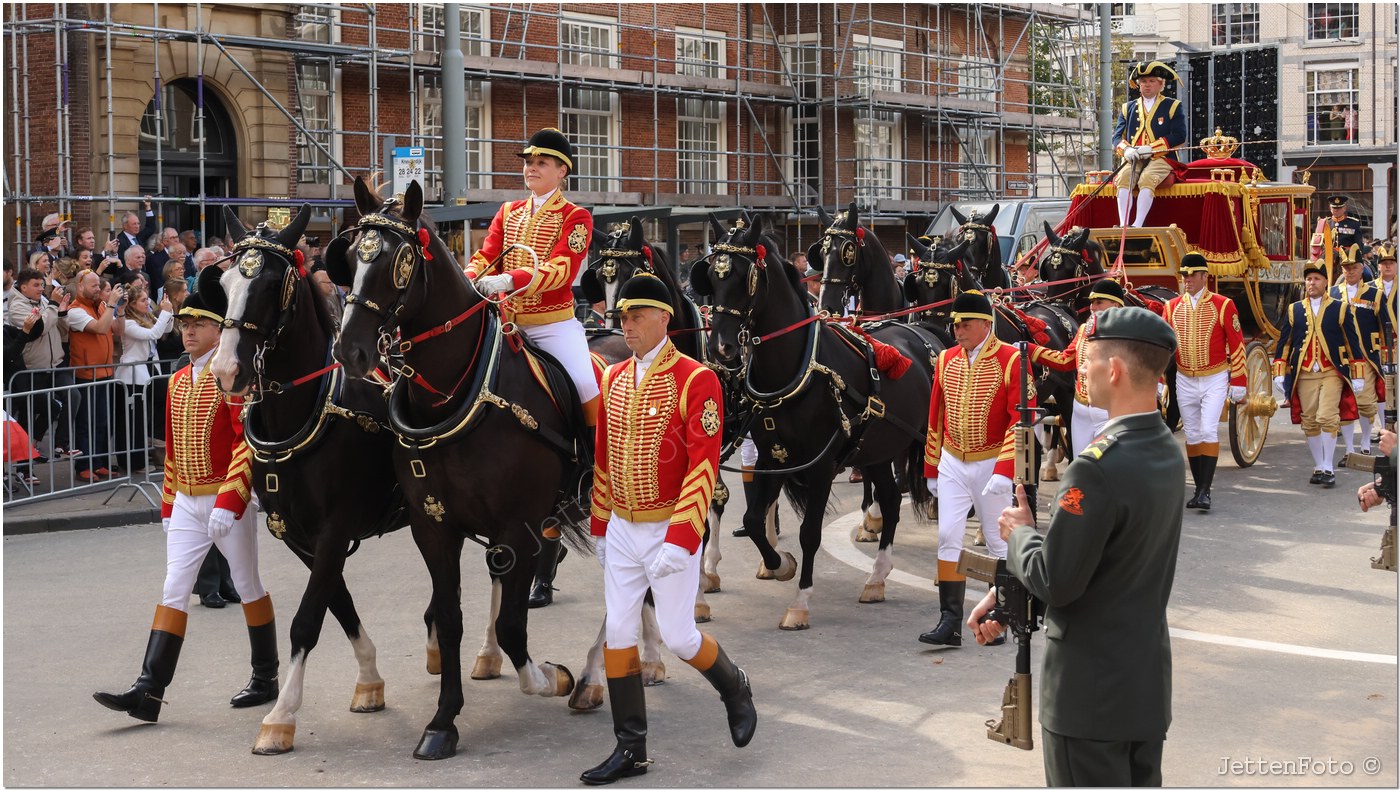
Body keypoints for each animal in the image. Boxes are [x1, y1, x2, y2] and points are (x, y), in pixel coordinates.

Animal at [204, 203, 408, 750]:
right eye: (224, 282)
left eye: (273, 283)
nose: (226, 370)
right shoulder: (300, 535)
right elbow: (337, 603)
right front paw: (370, 679)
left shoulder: (335, 529)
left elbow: (307, 619)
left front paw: (280, 716)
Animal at [327, 179, 585, 756]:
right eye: (350, 257)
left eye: (399, 261)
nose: (350, 351)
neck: (456, 396)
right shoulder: (433, 525)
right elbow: (449, 620)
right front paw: (443, 721)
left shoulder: (517, 524)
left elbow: (512, 626)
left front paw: (548, 677)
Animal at [688, 212, 929, 627]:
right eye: (712, 277)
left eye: (747, 278)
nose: (722, 347)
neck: (795, 369)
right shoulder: (774, 458)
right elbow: (753, 519)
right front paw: (780, 563)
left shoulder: (821, 465)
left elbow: (810, 533)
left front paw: (799, 603)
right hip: (876, 450)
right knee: (892, 500)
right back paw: (876, 579)